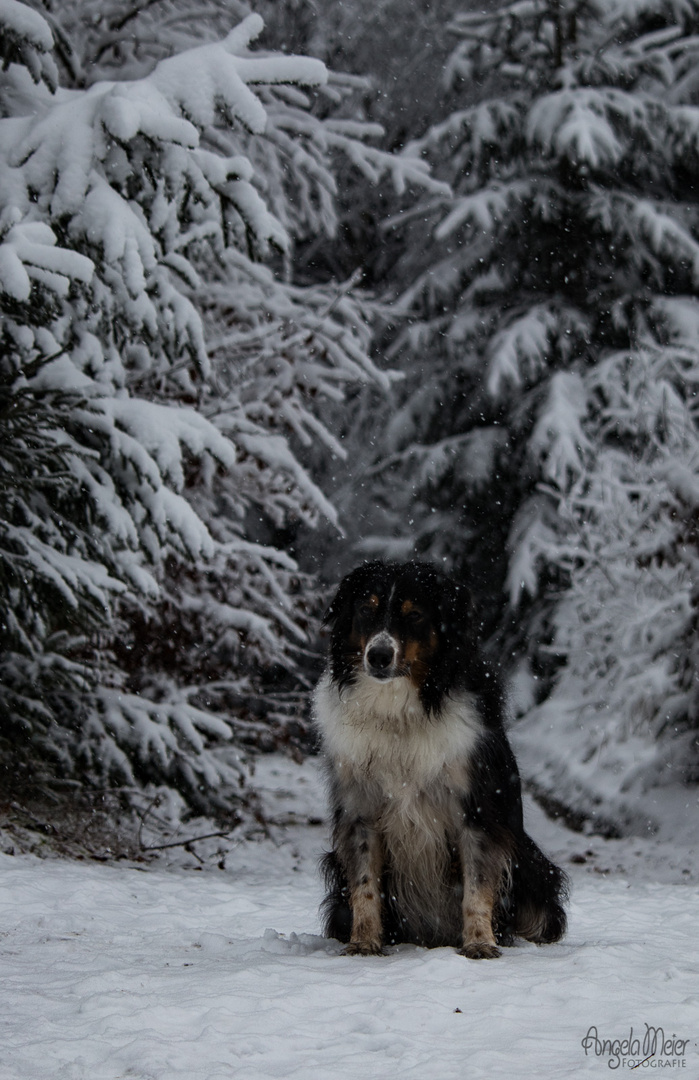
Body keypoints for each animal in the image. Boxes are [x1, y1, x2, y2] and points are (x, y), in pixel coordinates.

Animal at [315, 561, 566, 959]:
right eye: (366, 609)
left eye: (414, 615)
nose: (378, 656)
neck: (399, 714)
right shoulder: (360, 810)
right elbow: (365, 885)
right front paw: (364, 942)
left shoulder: (477, 811)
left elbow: (477, 886)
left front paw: (480, 943)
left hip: (533, 865)